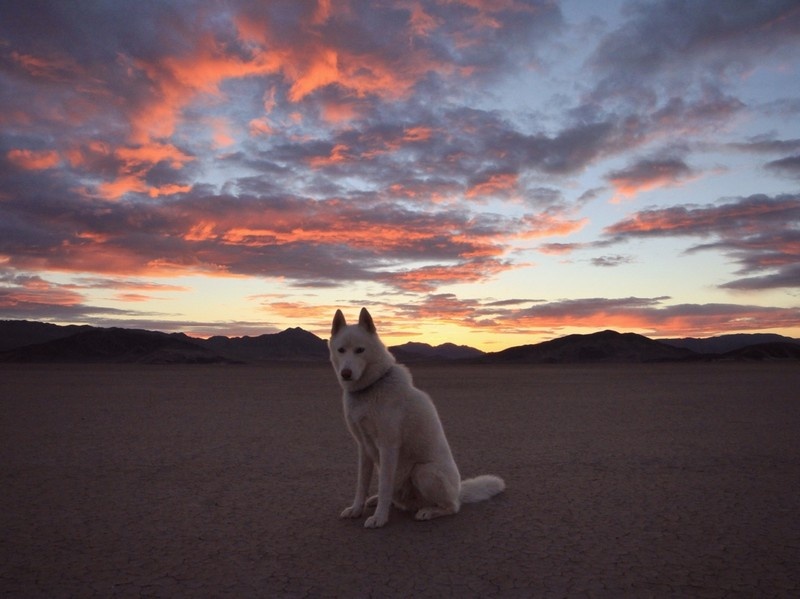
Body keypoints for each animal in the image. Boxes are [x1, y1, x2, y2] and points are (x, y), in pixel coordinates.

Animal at [328, 310, 504, 528]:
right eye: (341, 350)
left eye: (360, 350)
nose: (346, 373)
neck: (370, 388)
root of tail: (459, 491)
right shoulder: (364, 447)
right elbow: (362, 484)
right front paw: (356, 509)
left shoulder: (388, 446)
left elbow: (384, 485)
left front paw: (379, 518)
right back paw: (377, 500)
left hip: (423, 472)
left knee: (452, 507)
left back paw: (428, 511)